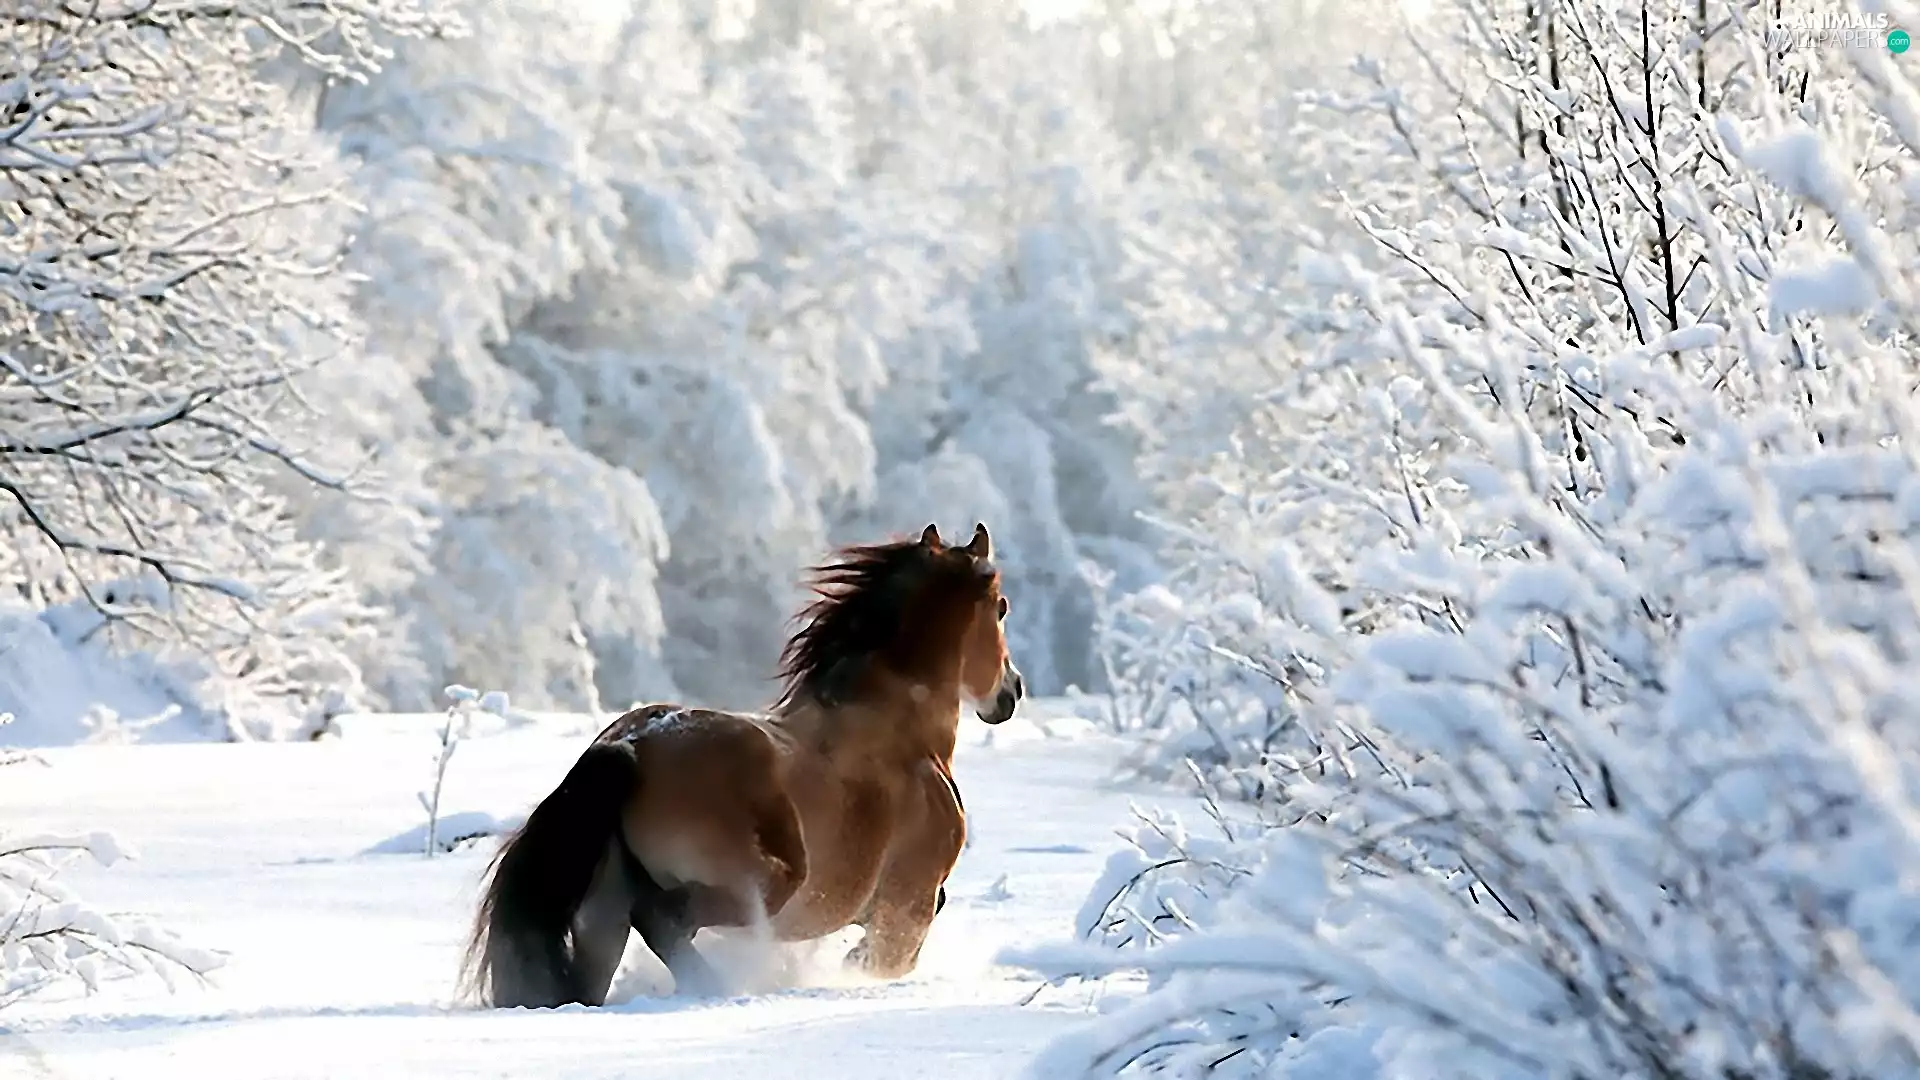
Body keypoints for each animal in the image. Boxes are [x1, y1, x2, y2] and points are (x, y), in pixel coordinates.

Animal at [458, 521, 1026, 1009]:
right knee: (665, 920)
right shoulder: (908, 906)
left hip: (602, 915)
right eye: (1000, 608)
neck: (902, 735)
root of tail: (629, 748)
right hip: (764, 884)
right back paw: (717, 988)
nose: (1011, 691)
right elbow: (884, 960)